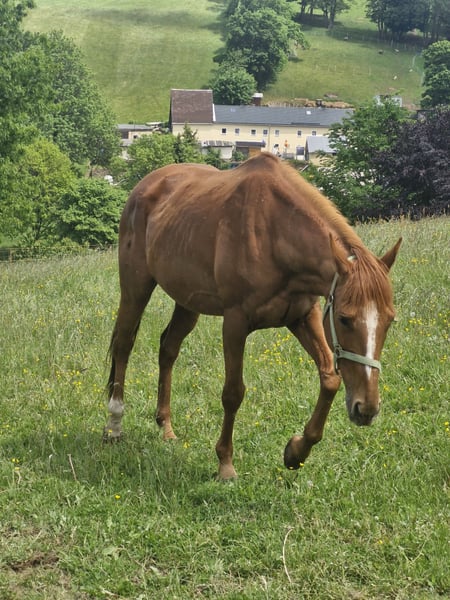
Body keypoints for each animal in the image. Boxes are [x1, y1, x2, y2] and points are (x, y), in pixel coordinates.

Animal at [104, 153, 401, 480]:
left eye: (390, 320)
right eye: (345, 319)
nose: (367, 409)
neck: (275, 233)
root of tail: (143, 186)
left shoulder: (304, 317)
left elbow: (330, 378)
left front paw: (296, 451)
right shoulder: (235, 323)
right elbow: (233, 393)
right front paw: (225, 464)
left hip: (187, 300)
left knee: (168, 348)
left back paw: (166, 426)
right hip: (136, 287)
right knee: (124, 344)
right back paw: (114, 424)